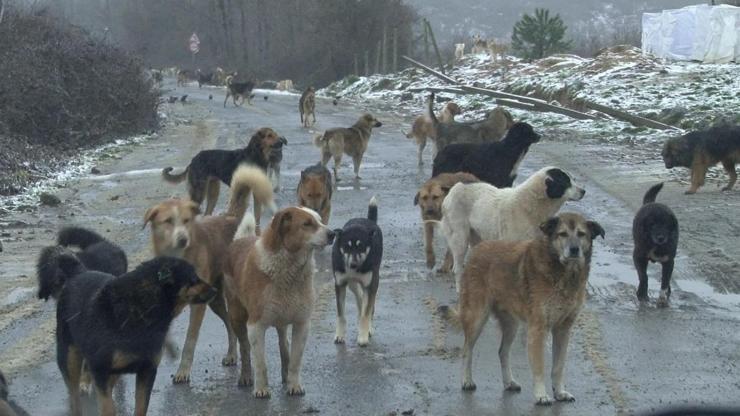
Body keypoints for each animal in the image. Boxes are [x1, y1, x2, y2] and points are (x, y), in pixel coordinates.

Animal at [40, 250, 215, 416]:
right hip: (69, 358)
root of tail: (78, 273)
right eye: (193, 278)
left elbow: (141, 407)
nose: (216, 289)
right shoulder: (100, 369)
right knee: (75, 398)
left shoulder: (147, 369)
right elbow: (108, 408)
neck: (142, 306)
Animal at [142, 165, 274, 384]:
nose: (183, 239)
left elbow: (190, 340)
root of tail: (232, 216)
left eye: (186, 220)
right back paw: (232, 354)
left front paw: (183, 371)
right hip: (216, 300)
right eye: (168, 221)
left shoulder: (198, 307)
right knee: (230, 324)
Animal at [221, 206, 334, 398]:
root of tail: (240, 240)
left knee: (283, 344)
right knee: (244, 347)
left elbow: (295, 360)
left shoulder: (302, 324)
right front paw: (261, 389)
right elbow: (260, 363)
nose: (333, 233)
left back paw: (284, 374)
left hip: (282, 318)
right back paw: (246, 377)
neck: (289, 271)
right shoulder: (256, 326)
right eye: (307, 224)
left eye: (320, 220)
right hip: (236, 315)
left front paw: (294, 385)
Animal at [332, 197, 384, 346]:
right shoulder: (340, 284)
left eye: (361, 247)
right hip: (351, 284)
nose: (353, 264)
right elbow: (341, 314)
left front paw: (363, 336)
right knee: (359, 297)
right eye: (346, 247)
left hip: (373, 280)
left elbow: (366, 314)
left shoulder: (370, 284)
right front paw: (340, 335)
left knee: (368, 306)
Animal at [442, 213, 604, 404]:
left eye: (581, 234)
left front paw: (559, 392)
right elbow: (539, 367)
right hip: (477, 317)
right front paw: (541, 395)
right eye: (562, 234)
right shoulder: (538, 330)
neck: (563, 272)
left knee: (503, 352)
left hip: (512, 324)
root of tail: (478, 249)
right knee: (467, 349)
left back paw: (509, 382)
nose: (574, 250)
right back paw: (467, 381)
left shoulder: (563, 330)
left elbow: (558, 366)